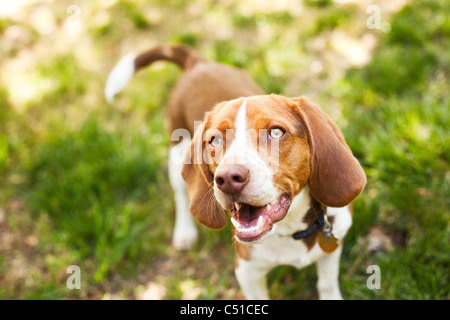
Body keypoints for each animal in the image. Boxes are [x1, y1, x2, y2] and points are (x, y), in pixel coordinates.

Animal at [105, 44, 366, 300]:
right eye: (215, 140)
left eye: (276, 132)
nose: (228, 179)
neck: (291, 229)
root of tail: (197, 63)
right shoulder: (247, 272)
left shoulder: (333, 247)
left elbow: (327, 285)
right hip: (176, 152)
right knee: (180, 194)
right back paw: (184, 232)